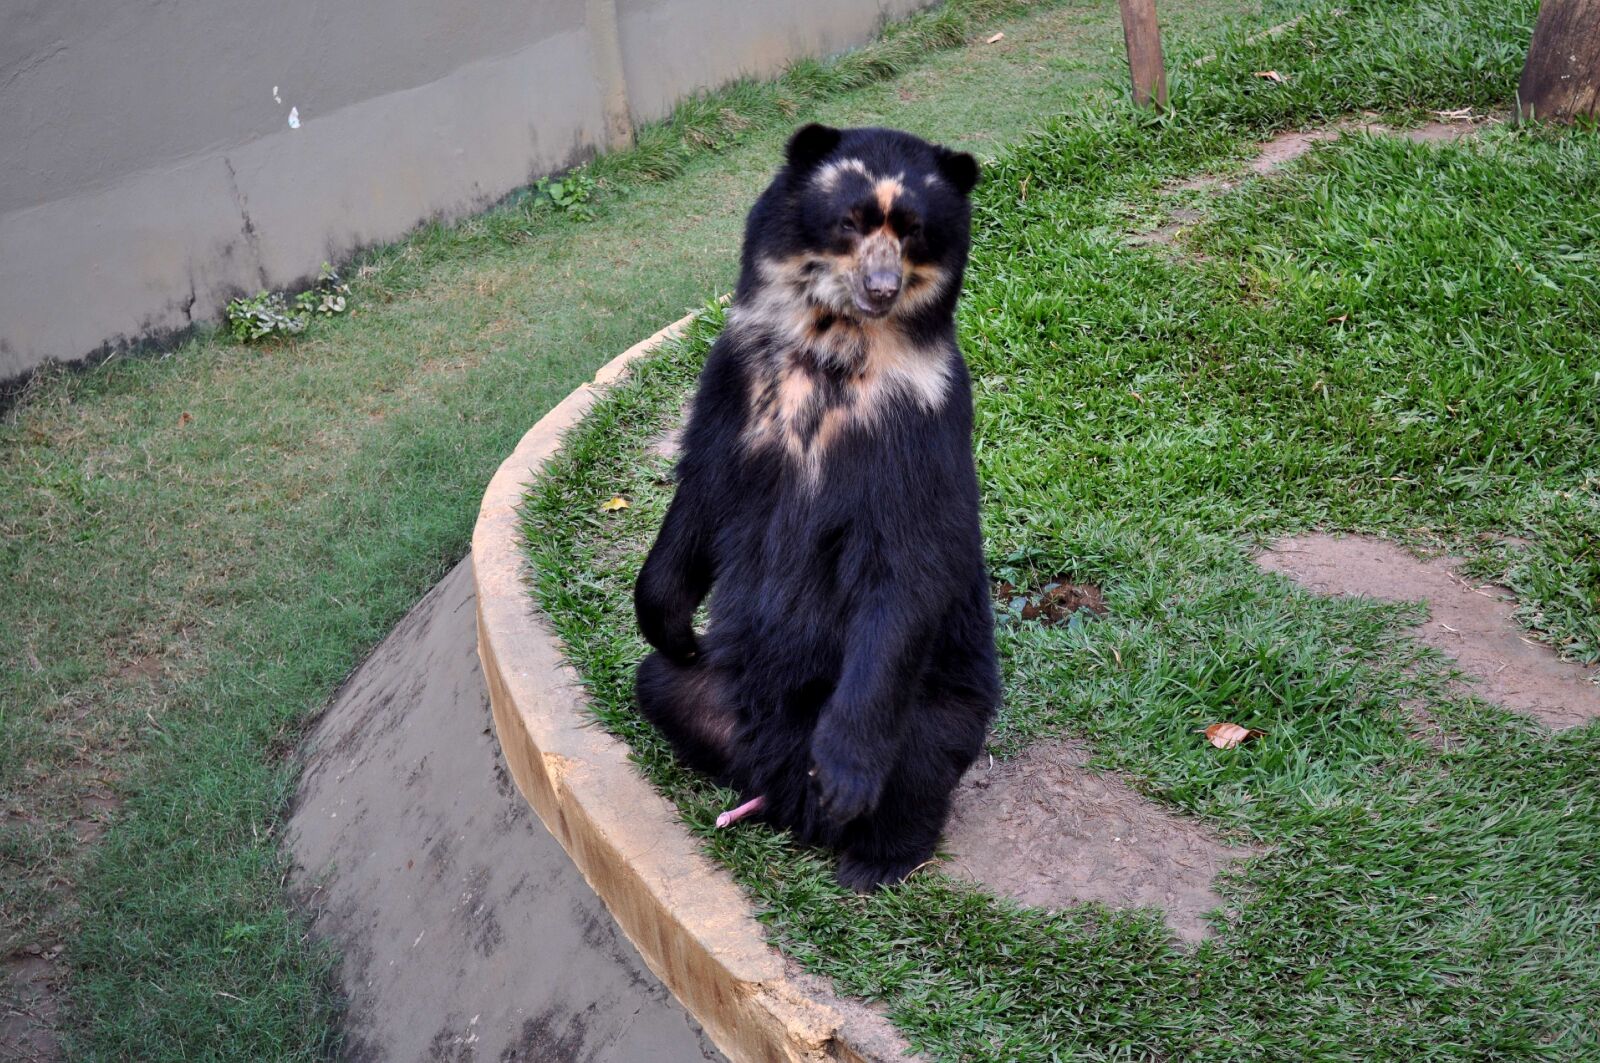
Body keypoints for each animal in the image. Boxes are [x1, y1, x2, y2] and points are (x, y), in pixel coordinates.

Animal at [633, 123, 999, 892]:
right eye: (850, 222)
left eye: (914, 231)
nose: (882, 288)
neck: (835, 340)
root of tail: (783, 784)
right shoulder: (736, 379)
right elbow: (701, 493)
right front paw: (669, 624)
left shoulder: (920, 419)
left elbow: (907, 561)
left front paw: (844, 778)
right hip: (726, 691)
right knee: (662, 686)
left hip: (944, 701)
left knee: (921, 756)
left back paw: (870, 854)